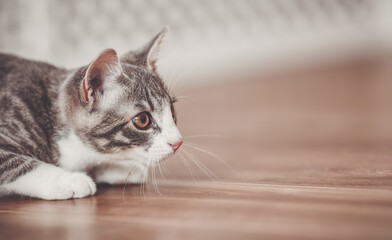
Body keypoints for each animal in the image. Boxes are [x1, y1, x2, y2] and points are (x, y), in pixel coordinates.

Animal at [0, 27, 182, 201]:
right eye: (142, 120)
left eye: (172, 110)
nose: (178, 142)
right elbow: (13, 161)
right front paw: (69, 180)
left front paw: (120, 167)